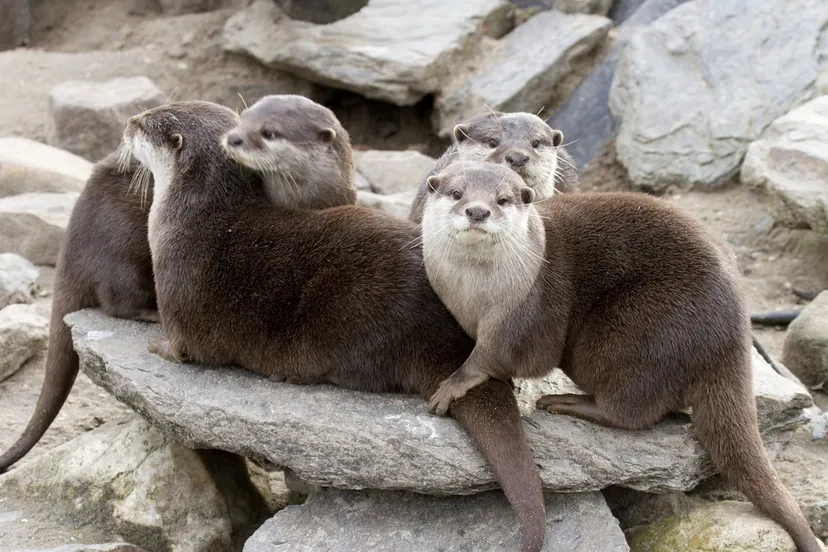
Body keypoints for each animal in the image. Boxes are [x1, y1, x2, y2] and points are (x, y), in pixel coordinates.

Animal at [420, 161, 821, 552]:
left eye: (503, 199)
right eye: (456, 193)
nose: (477, 210)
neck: (476, 296)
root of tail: (734, 331)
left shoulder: (525, 316)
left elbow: (494, 357)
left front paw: (455, 382)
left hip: (635, 329)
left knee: (632, 411)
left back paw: (569, 403)